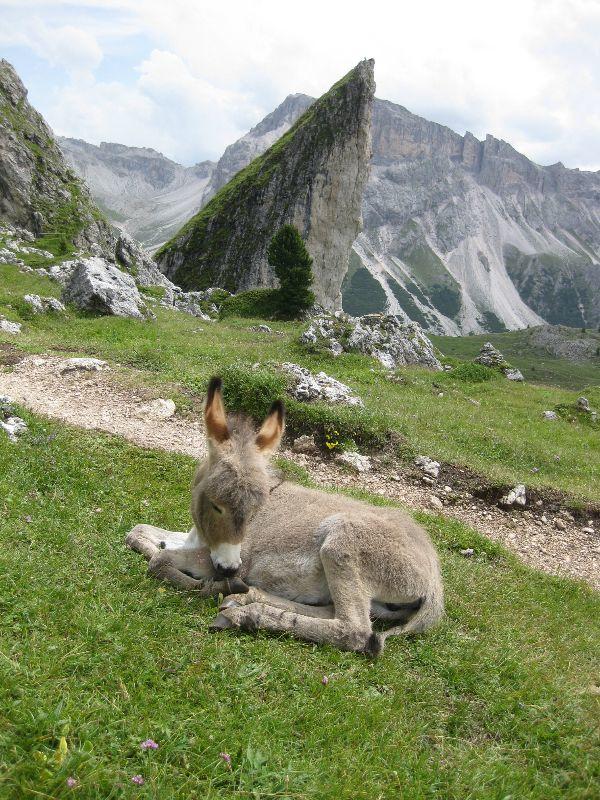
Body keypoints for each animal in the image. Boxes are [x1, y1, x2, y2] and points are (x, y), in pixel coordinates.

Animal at [126, 376, 442, 656]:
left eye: (257, 509)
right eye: (217, 505)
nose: (228, 571)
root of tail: (435, 585)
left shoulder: (229, 556)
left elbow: (160, 560)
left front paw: (203, 584)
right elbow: (137, 531)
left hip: (342, 544)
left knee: (354, 630)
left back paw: (245, 612)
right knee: (332, 610)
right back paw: (245, 598)